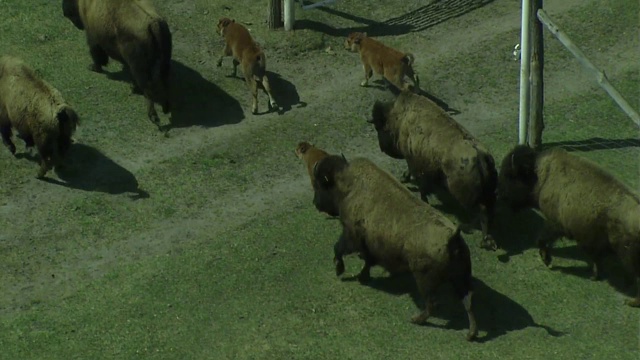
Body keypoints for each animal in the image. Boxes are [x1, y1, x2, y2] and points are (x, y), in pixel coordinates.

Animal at [61, 0, 172, 129]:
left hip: (141, 69)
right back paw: (165, 108)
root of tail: (153, 24)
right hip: (164, 63)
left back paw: (153, 115)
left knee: (147, 90)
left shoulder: (92, 35)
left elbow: (96, 53)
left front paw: (94, 67)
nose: (65, 12)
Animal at [312, 155, 478, 340]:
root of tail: (452, 237)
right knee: (468, 300)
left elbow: (339, 249)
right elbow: (367, 261)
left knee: (433, 302)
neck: (348, 184)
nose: (315, 203)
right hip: (460, 278)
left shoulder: (351, 236)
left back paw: (417, 319)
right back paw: (471, 334)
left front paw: (340, 270)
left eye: (320, 185)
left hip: (425, 280)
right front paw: (363, 276)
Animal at [368, 90, 498, 250]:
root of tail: (480, 155)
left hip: (465, 195)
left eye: (381, 127)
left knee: (481, 213)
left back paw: (474, 233)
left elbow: (421, 186)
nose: (382, 148)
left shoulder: (415, 163)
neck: (401, 117)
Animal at [500, 145, 640, 308]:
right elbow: (595, 258)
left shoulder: (556, 224)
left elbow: (541, 239)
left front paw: (546, 260)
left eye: (510, 175)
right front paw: (595, 275)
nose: (499, 193)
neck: (541, 175)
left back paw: (631, 301)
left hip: (627, 256)